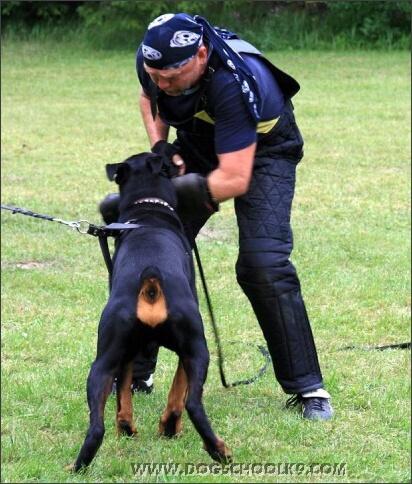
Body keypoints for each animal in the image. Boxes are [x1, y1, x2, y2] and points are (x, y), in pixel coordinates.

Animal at [70, 154, 232, 472]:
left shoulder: (134, 352)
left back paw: (78, 466)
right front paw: (169, 429)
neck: (148, 213)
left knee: (96, 426)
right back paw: (218, 449)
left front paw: (129, 430)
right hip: (199, 349)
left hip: (104, 361)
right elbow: (177, 392)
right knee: (194, 404)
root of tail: (151, 278)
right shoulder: (187, 349)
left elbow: (124, 398)